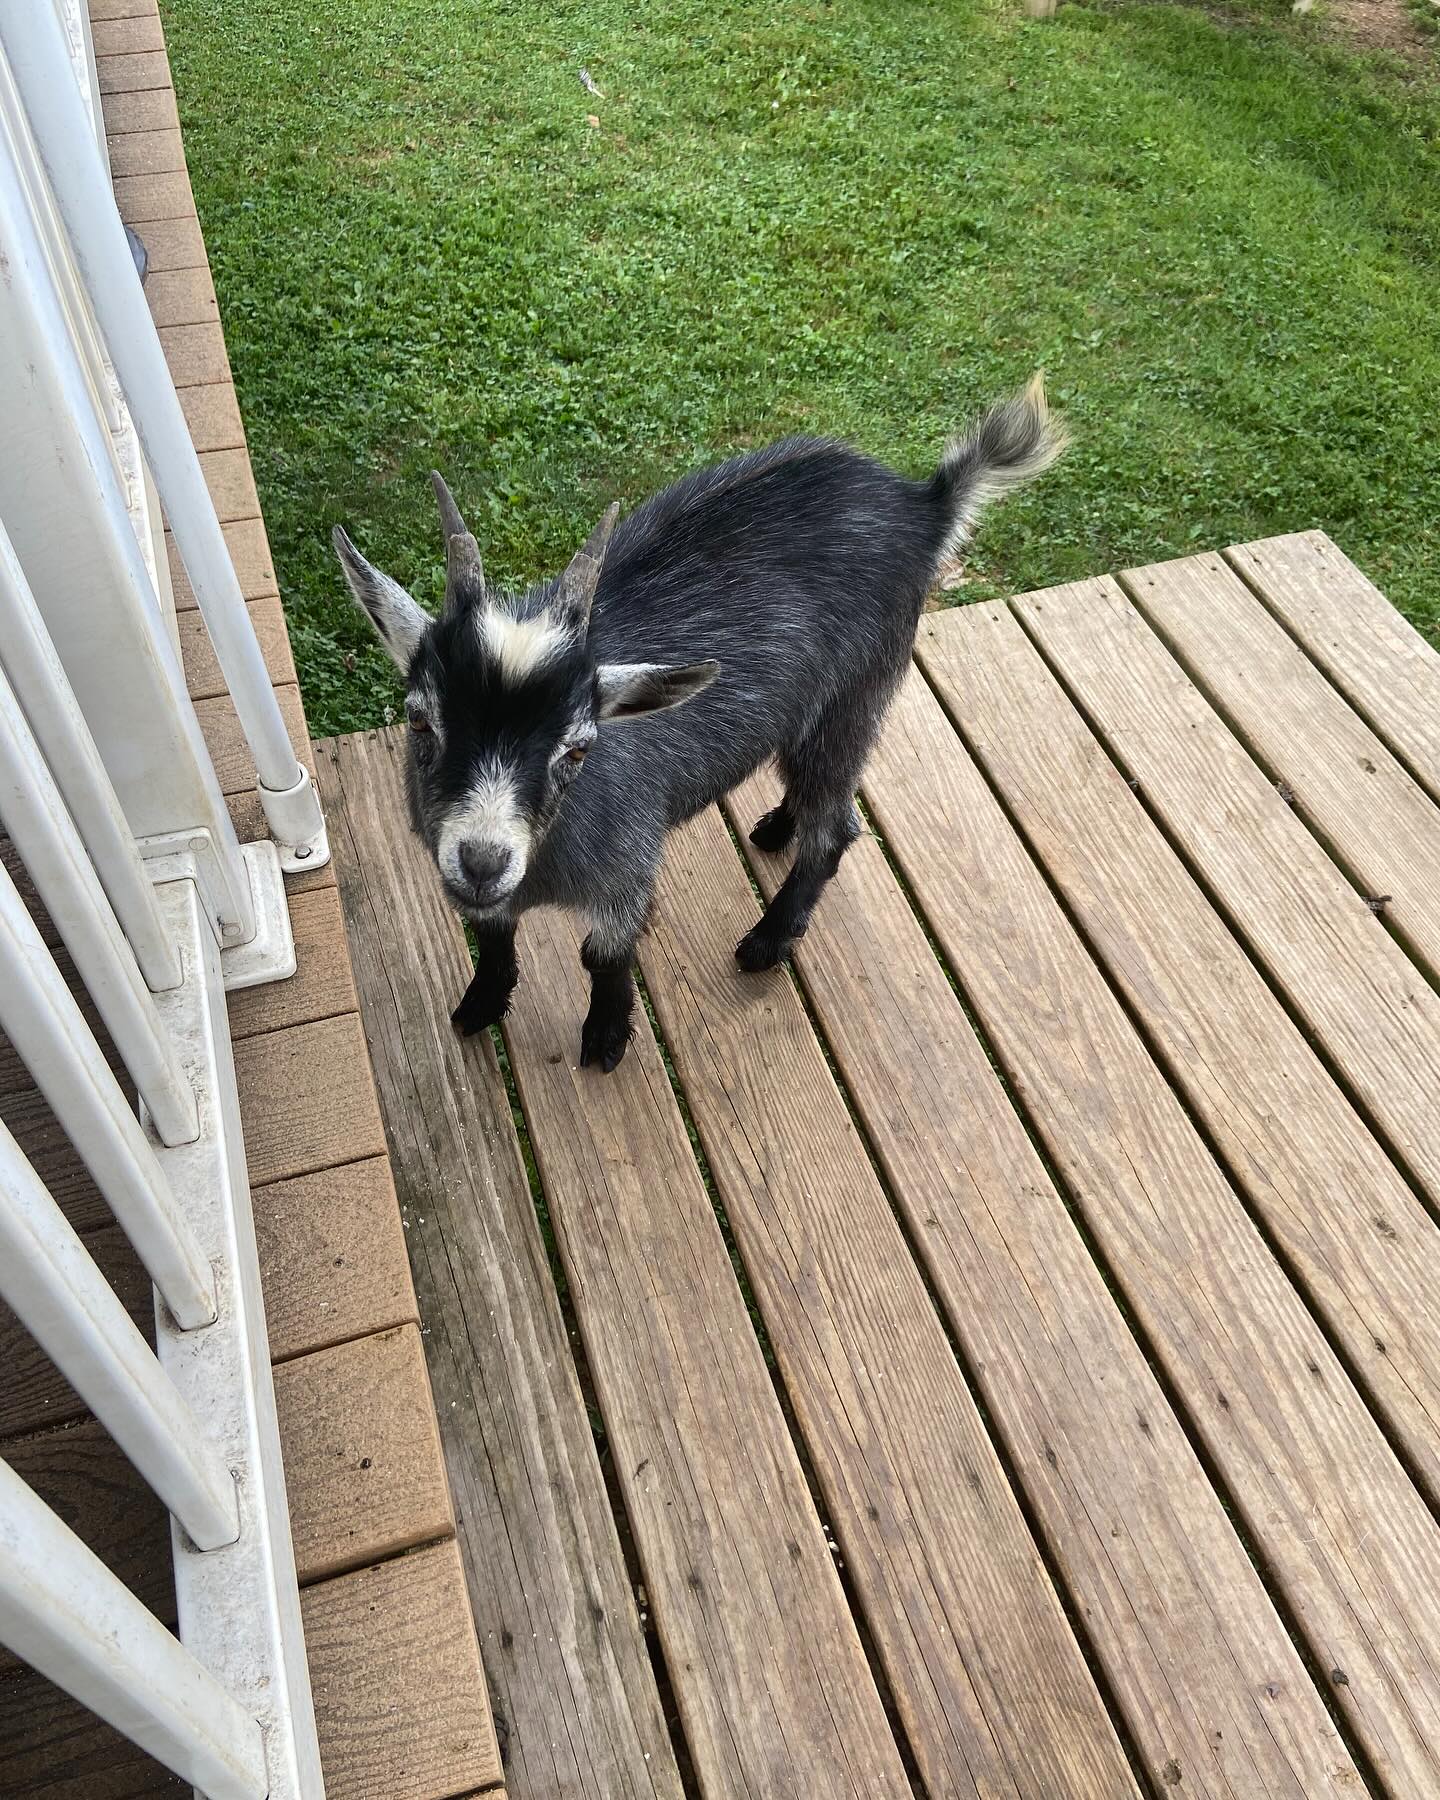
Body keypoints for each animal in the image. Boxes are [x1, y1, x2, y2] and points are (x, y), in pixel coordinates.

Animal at [334, 376, 1067, 1072]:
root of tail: (923, 504)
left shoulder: (627, 871)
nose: (484, 860)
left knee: (836, 827)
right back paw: (777, 827)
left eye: (578, 750)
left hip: (855, 697)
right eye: (420, 723)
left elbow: (603, 954)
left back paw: (769, 939)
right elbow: (491, 937)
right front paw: (481, 1004)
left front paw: (607, 1035)